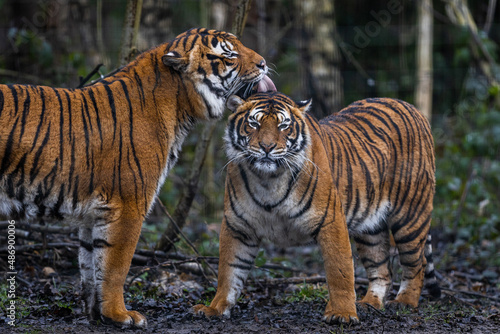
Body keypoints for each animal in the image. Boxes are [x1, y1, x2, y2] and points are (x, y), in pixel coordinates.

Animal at [0, 28, 278, 328]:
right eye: (229, 55)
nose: (264, 63)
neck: (179, 106)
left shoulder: (91, 214)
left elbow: (90, 265)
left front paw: (96, 314)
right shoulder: (128, 204)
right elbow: (115, 265)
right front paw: (120, 314)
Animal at [194, 91, 442, 324]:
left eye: (283, 125)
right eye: (254, 123)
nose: (267, 147)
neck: (268, 180)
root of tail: (411, 107)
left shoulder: (331, 221)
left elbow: (339, 271)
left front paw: (342, 313)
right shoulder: (238, 226)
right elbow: (229, 271)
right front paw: (214, 308)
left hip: (410, 216)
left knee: (416, 264)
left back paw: (404, 302)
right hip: (370, 228)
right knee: (382, 269)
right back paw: (369, 303)